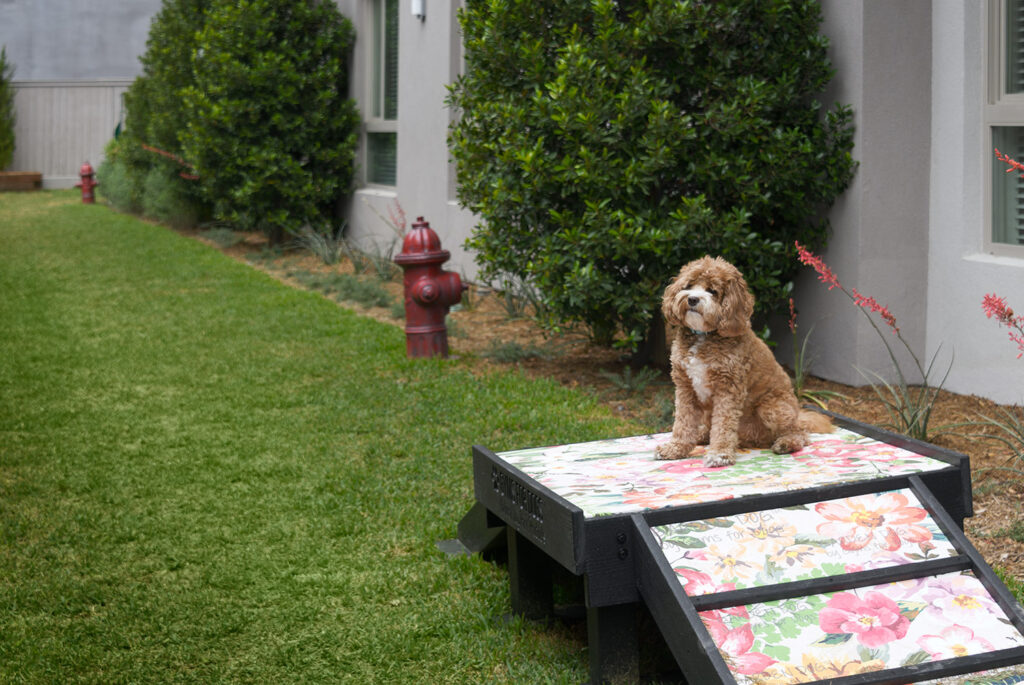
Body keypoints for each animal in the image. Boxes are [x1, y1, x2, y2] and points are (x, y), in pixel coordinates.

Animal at [655, 253, 831, 466]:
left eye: (713, 291)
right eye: (688, 285)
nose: (692, 299)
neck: (703, 335)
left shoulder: (728, 389)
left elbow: (723, 426)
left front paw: (719, 454)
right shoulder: (685, 388)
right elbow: (683, 423)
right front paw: (675, 448)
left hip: (772, 408)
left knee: (800, 433)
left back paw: (786, 443)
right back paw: (703, 435)